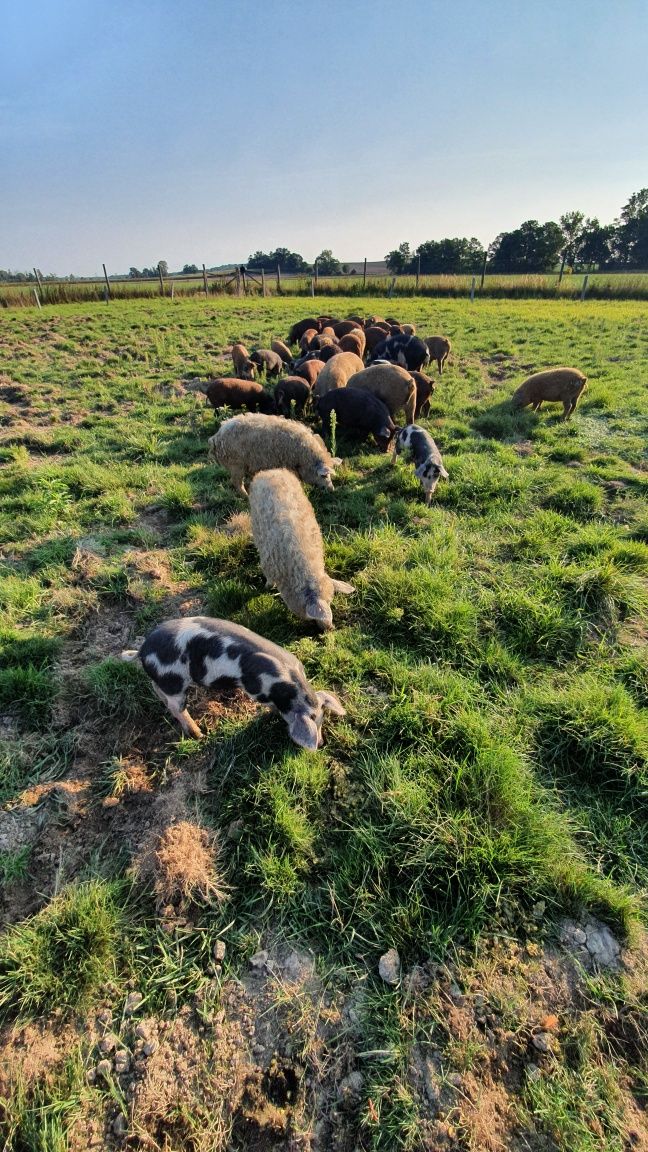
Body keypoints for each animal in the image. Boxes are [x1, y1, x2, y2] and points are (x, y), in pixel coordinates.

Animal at [121, 617, 343, 751]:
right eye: (314, 723)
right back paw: (199, 734)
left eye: (322, 719)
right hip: (175, 682)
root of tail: (142, 650)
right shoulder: (255, 689)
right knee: (177, 708)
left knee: (158, 691)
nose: (322, 743)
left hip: (165, 682)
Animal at [207, 412, 341, 493]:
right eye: (324, 475)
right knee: (236, 483)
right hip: (236, 464)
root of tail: (215, 438)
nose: (332, 489)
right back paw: (246, 496)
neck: (305, 460)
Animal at [246, 467, 352, 631]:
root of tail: (271, 471)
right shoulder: (267, 562)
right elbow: (268, 579)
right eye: (312, 616)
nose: (329, 629)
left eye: (331, 602)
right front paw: (267, 587)